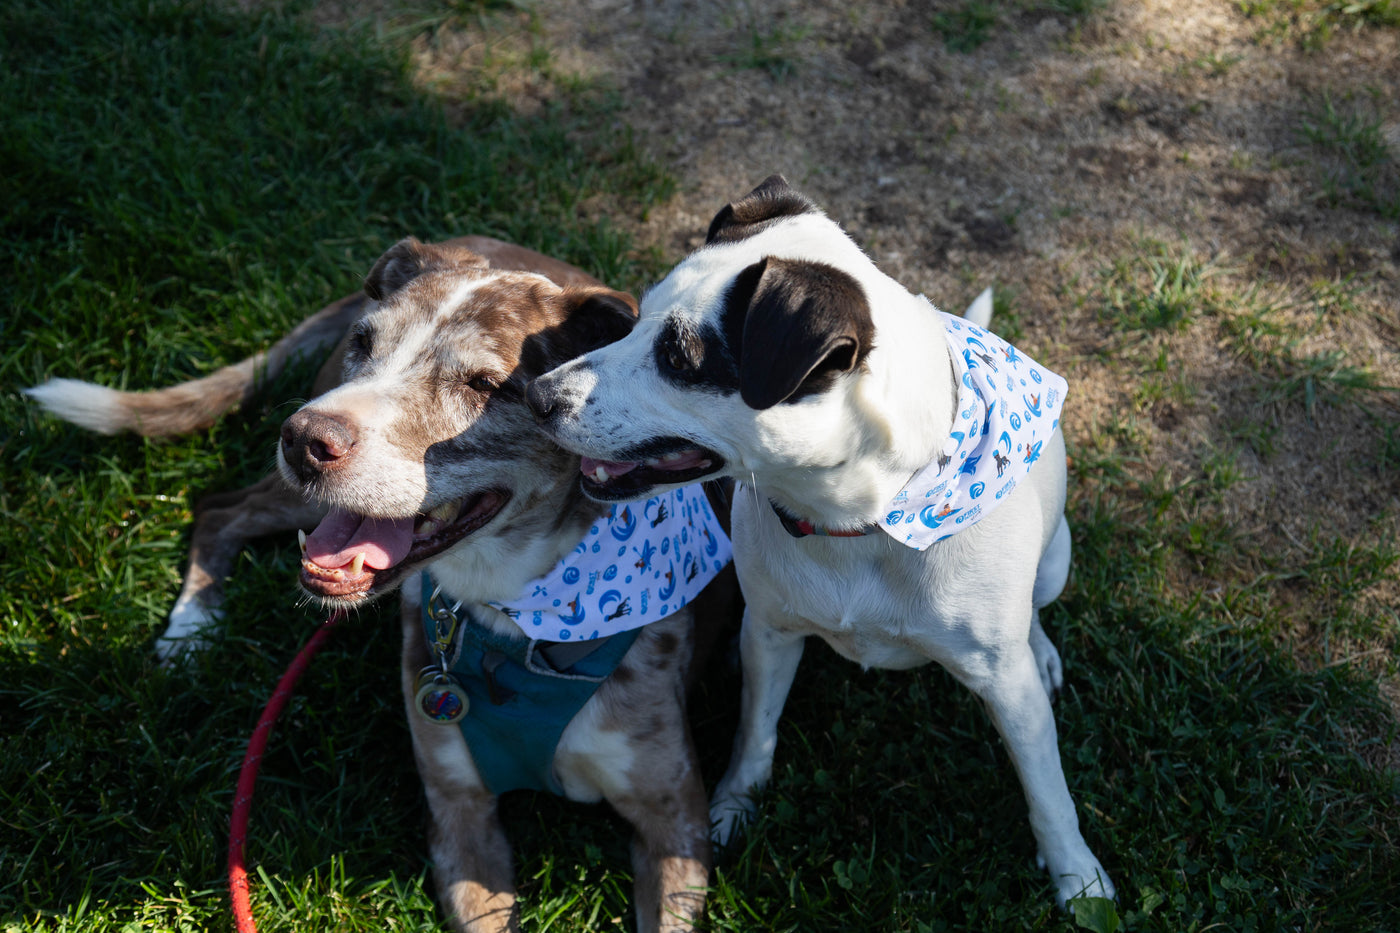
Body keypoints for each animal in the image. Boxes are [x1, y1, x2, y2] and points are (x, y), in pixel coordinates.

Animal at [526, 176, 1114, 907]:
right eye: (637, 318)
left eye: (679, 357)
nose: (537, 395)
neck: (859, 521)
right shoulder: (773, 633)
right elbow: (755, 733)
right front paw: (731, 810)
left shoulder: (1008, 688)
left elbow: (1047, 788)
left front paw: (1077, 876)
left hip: (1055, 562)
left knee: (1034, 610)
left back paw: (1044, 650)